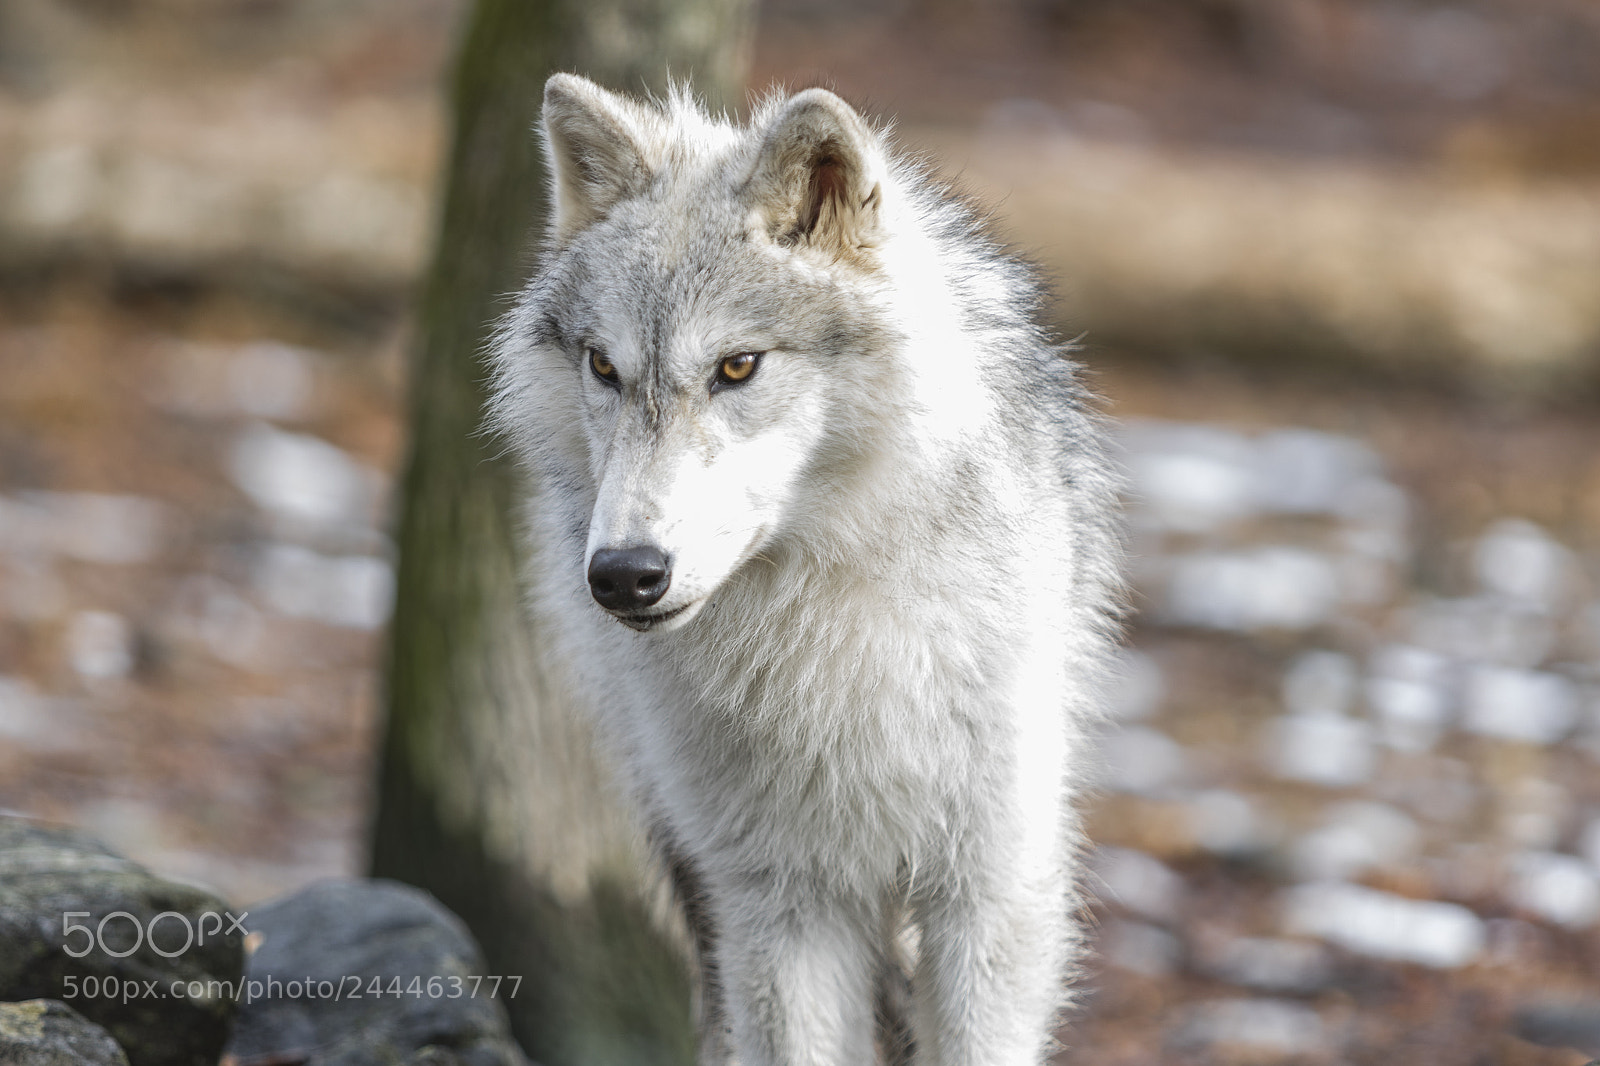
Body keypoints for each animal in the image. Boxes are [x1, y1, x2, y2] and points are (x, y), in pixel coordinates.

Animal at [489, 74, 1123, 1066]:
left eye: (738, 366)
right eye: (603, 366)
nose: (625, 574)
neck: (821, 640)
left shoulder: (990, 888)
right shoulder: (780, 903)